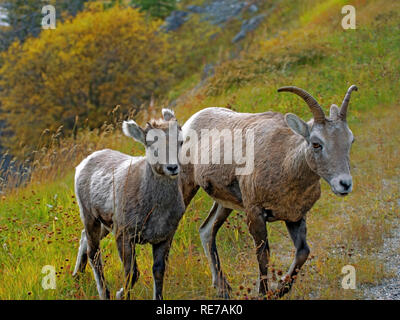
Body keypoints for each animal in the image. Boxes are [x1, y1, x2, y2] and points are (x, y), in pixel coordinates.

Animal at [72, 109, 184, 300]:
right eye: (151, 145)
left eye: (181, 141)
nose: (172, 168)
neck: (156, 209)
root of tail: (83, 164)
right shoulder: (123, 235)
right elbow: (132, 273)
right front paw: (119, 294)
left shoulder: (164, 237)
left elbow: (158, 271)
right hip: (90, 217)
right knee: (94, 254)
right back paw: (105, 294)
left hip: (105, 225)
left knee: (84, 239)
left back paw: (76, 277)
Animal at [180, 84, 358, 298]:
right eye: (316, 143)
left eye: (350, 141)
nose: (344, 184)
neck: (284, 165)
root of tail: (190, 121)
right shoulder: (255, 213)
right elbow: (263, 254)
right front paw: (264, 293)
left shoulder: (295, 216)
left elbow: (303, 252)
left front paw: (280, 289)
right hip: (186, 186)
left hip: (224, 204)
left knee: (206, 231)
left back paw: (223, 288)